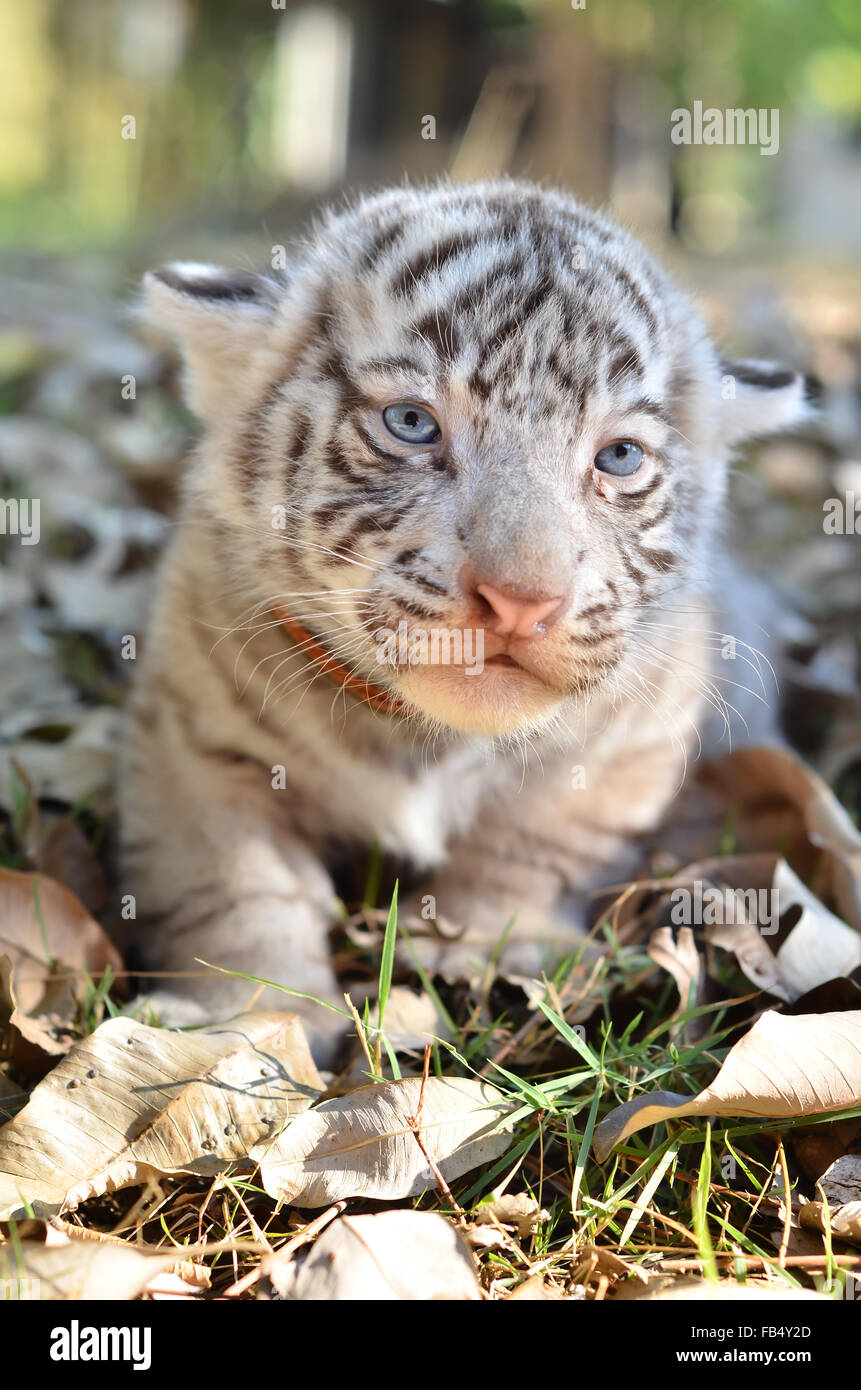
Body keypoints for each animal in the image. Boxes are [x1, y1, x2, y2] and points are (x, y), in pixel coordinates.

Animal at [118, 179, 812, 1056]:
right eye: (411, 423)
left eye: (618, 457)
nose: (523, 600)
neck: (421, 739)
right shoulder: (195, 737)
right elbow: (236, 883)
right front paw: (245, 1015)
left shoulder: (635, 740)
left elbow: (531, 842)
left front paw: (488, 947)